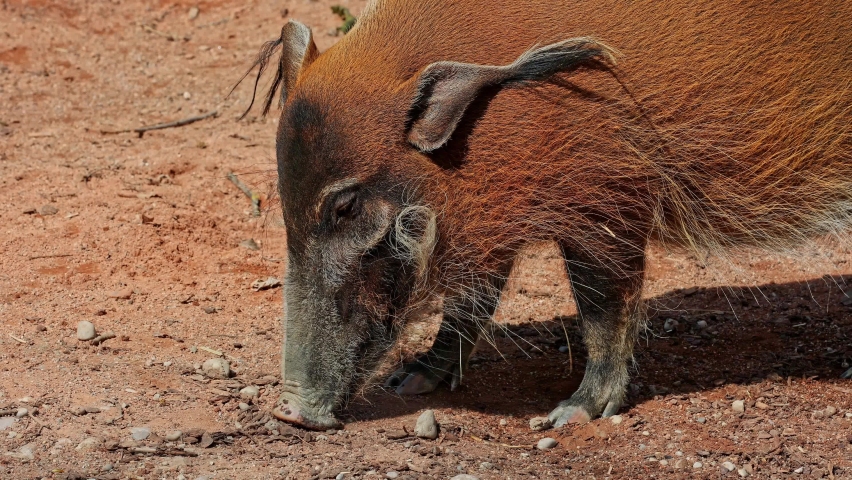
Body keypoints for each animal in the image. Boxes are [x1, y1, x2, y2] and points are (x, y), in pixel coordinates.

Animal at [236, 0, 852, 430]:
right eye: (285, 199)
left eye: (346, 205)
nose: (289, 411)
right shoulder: (488, 217)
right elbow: (471, 300)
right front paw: (411, 381)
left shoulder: (607, 204)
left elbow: (603, 309)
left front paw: (567, 415)